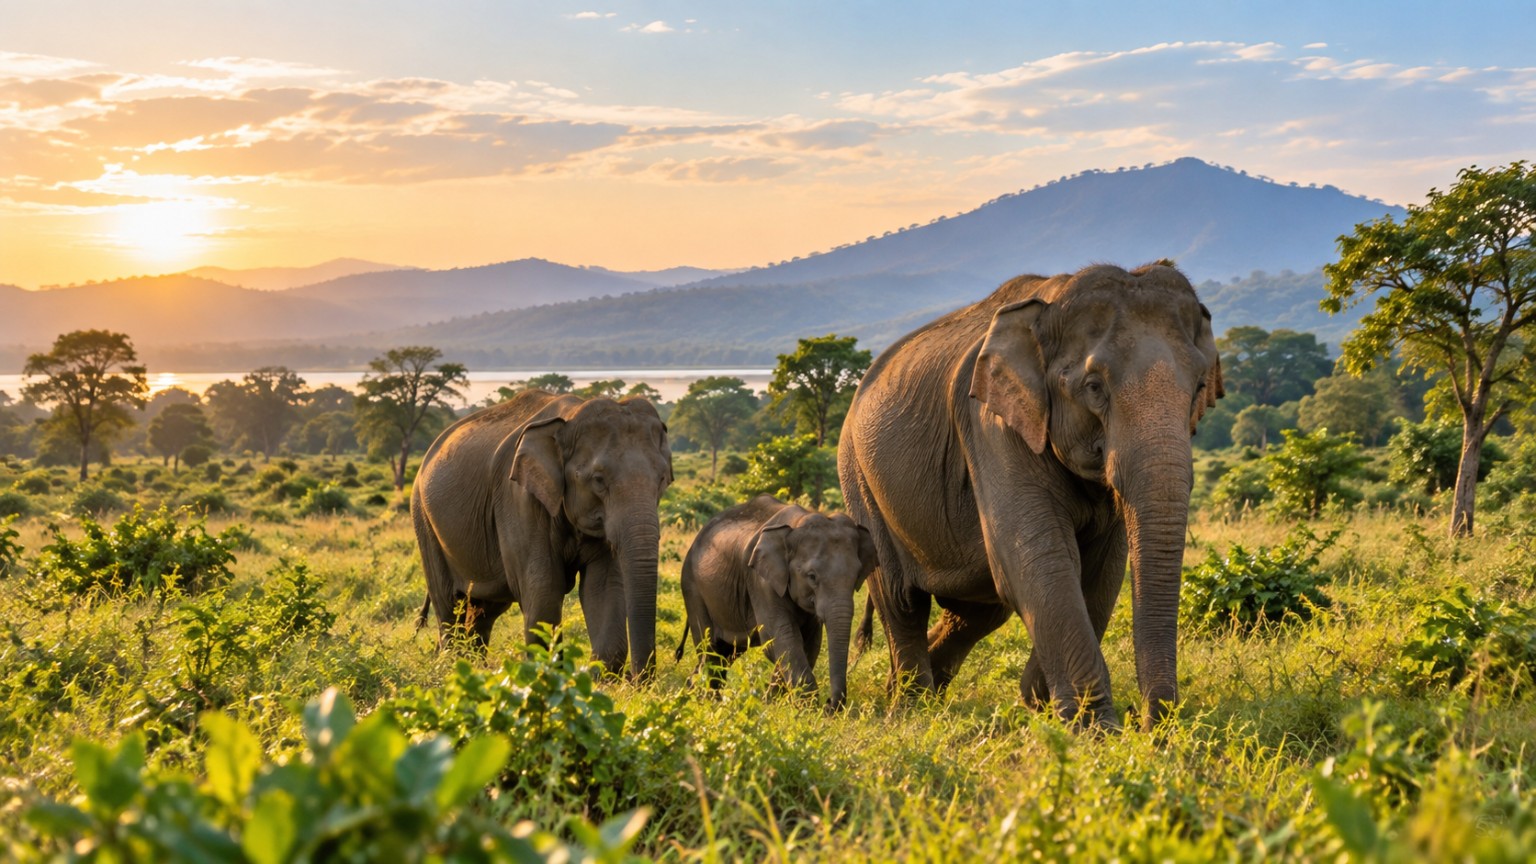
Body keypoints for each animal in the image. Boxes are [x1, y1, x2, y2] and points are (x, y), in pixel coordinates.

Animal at [412, 389, 673, 678]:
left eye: (663, 479)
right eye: (598, 479)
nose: (636, 679)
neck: (569, 419)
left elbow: (602, 586)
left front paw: (596, 678)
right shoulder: (519, 500)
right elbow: (544, 591)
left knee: (484, 610)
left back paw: (472, 667)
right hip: (424, 520)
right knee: (449, 605)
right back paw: (453, 668)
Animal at [674, 495, 878, 711]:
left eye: (857, 575)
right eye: (812, 576)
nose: (830, 704)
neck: (797, 524)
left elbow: (809, 642)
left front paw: (773, 702)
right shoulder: (761, 582)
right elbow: (780, 637)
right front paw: (807, 707)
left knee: (724, 653)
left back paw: (692, 691)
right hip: (693, 588)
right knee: (710, 650)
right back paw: (708, 701)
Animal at [838, 262, 1223, 730]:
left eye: (1200, 386)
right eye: (1094, 387)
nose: (1150, 726)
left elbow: (1101, 571)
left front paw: (1039, 701)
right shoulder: (992, 425)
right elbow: (1039, 559)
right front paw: (1093, 730)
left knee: (976, 612)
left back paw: (908, 691)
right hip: (857, 476)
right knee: (901, 598)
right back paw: (911, 707)